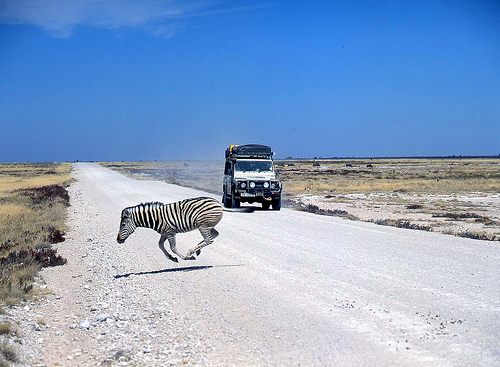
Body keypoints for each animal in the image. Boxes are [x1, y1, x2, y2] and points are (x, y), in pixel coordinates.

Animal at [117, 197, 254, 264]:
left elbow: (173, 248)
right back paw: (197, 250)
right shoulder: (164, 233)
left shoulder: (170, 232)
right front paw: (171, 258)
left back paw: (191, 252)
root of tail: (219, 204)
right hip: (208, 225)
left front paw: (184, 258)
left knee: (209, 240)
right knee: (214, 234)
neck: (155, 218)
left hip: (203, 225)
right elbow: (160, 245)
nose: (118, 240)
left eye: (123, 224)